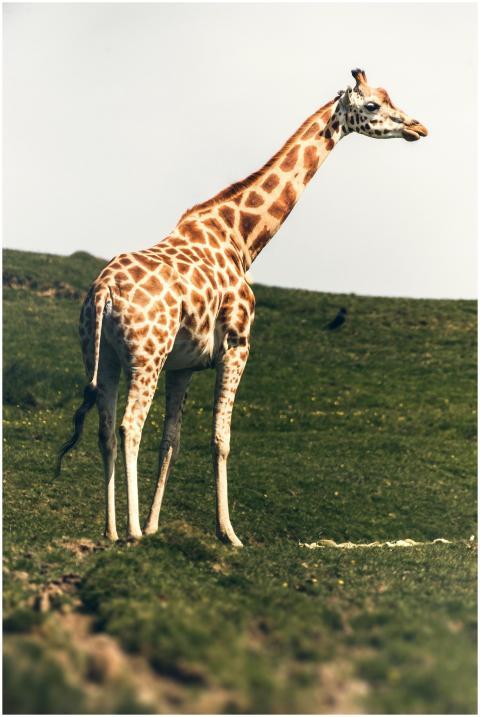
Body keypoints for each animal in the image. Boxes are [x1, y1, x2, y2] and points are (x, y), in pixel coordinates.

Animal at [57, 69, 427, 546]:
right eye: (372, 106)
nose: (418, 127)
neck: (241, 240)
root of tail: (103, 291)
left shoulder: (183, 364)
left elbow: (172, 440)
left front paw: (158, 527)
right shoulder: (237, 345)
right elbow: (221, 438)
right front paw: (228, 533)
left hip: (103, 358)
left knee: (105, 430)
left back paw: (112, 531)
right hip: (146, 356)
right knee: (128, 426)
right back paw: (132, 530)